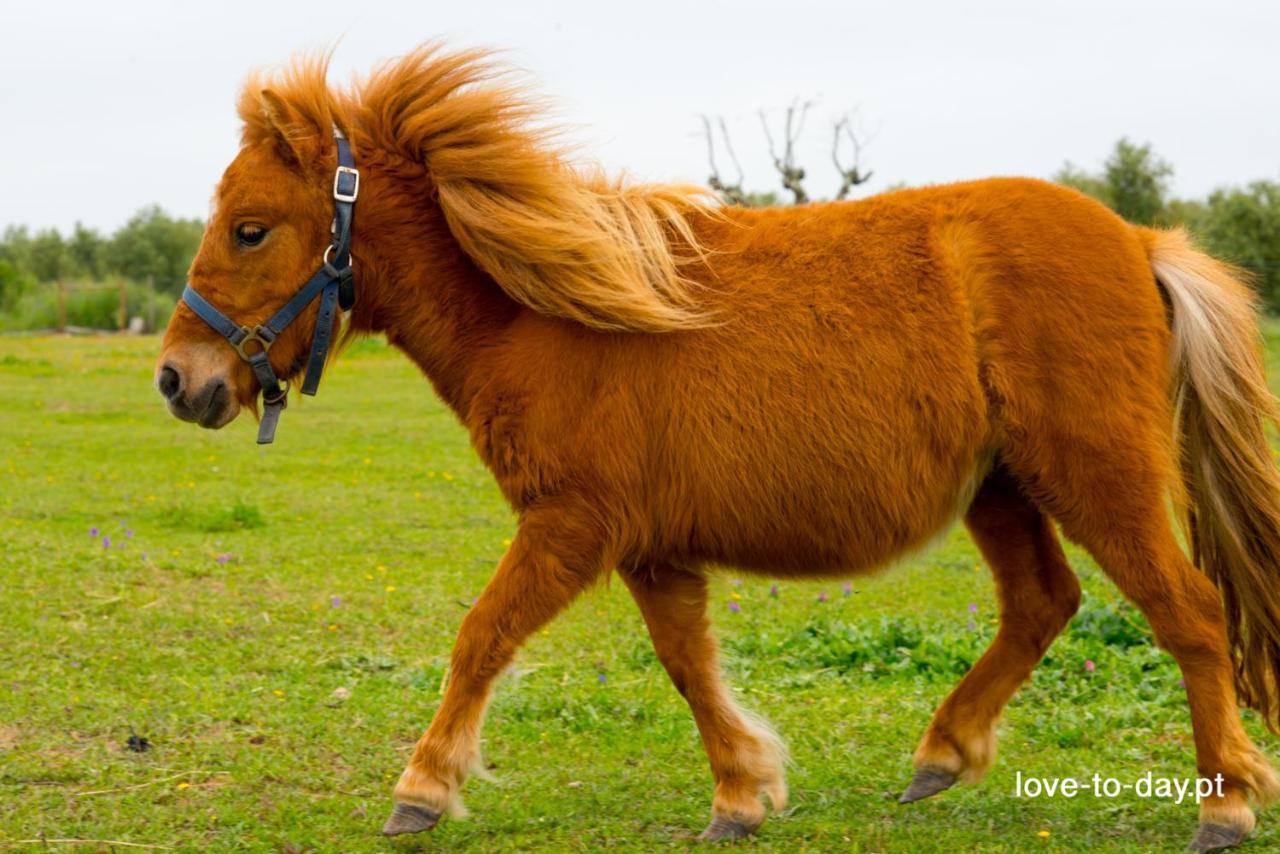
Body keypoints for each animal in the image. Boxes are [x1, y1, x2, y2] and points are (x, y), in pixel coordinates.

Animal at [157, 45, 1280, 850]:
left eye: (251, 228)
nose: (178, 379)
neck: (545, 315)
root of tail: (1138, 241)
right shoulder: (650, 550)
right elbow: (688, 664)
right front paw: (743, 791)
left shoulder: (569, 527)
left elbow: (482, 636)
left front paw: (423, 787)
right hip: (999, 488)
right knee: (1043, 602)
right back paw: (942, 752)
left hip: (1096, 476)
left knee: (1187, 611)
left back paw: (1223, 803)